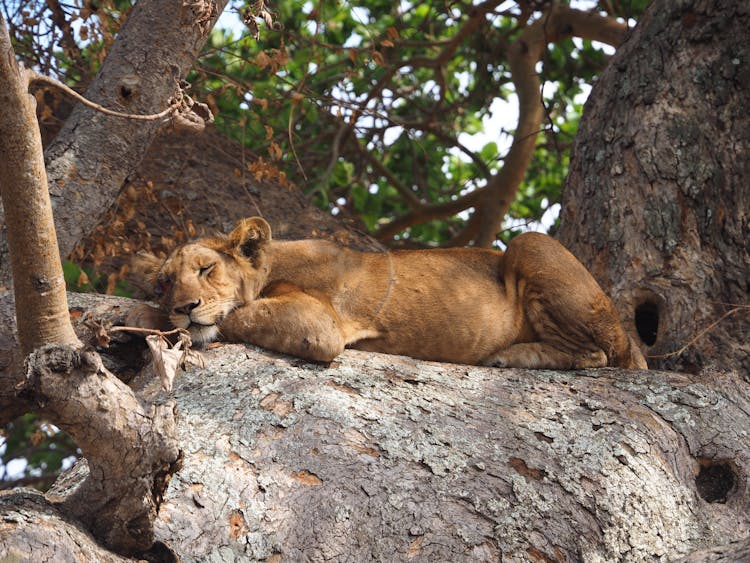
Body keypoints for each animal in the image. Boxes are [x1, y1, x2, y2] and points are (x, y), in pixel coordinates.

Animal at [132, 217, 648, 370]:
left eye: (207, 269)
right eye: (164, 283)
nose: (184, 307)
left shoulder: (322, 327)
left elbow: (239, 315)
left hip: (530, 243)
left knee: (601, 356)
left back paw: (510, 356)